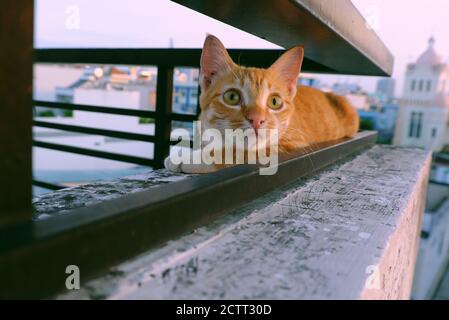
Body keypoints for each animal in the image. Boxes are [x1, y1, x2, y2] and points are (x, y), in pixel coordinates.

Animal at [164, 35, 356, 174]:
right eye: (232, 97)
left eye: (274, 101)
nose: (257, 120)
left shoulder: (291, 144)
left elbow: (238, 152)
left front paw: (190, 157)